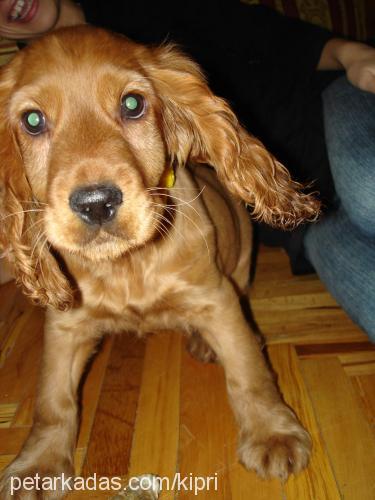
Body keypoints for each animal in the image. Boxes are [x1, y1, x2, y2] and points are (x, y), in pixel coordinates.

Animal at [0, 26, 320, 496]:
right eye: (33, 121)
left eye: (133, 104)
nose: (96, 204)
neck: (127, 265)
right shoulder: (66, 324)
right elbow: (52, 399)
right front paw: (37, 465)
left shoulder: (216, 298)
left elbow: (248, 370)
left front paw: (271, 433)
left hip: (242, 264)